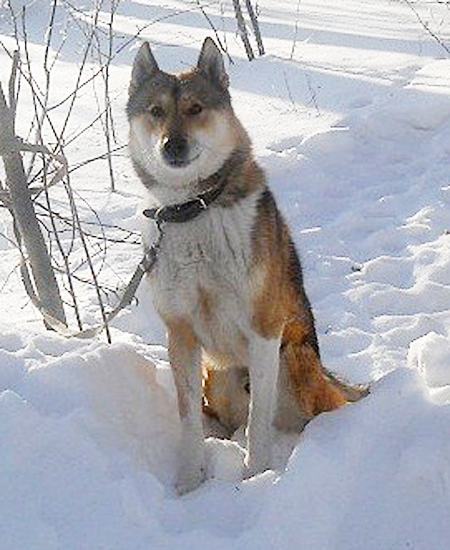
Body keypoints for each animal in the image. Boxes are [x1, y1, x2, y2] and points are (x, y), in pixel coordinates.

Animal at [127, 37, 366, 494]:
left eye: (196, 108)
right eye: (155, 111)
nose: (172, 146)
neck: (193, 210)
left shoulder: (263, 330)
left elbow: (259, 421)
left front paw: (256, 476)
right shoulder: (180, 336)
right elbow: (188, 419)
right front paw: (190, 481)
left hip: (292, 363)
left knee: (312, 411)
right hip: (217, 376)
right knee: (223, 416)